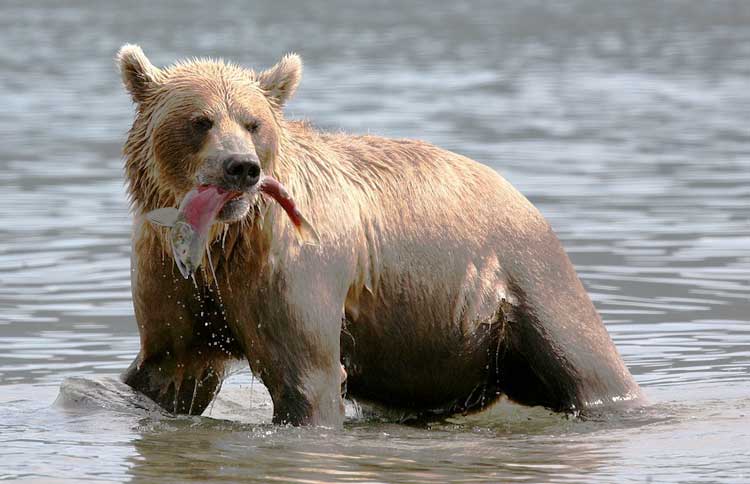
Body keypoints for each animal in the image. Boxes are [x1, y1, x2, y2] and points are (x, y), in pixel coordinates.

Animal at [117, 44, 643, 426]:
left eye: (253, 122)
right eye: (200, 121)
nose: (240, 167)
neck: (223, 242)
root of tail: (521, 194)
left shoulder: (292, 267)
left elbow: (305, 376)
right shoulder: (173, 274)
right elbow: (170, 367)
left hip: (528, 277)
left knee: (588, 364)